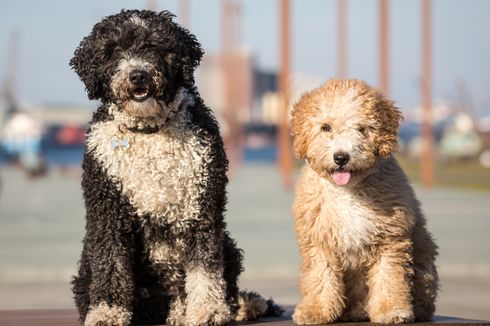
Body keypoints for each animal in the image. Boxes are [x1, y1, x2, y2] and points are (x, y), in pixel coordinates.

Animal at [70, 8, 282, 324]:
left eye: (156, 47)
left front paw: (208, 310)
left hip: (227, 244)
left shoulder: (201, 205)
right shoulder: (107, 209)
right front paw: (108, 312)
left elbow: (205, 265)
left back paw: (239, 306)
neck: (149, 131)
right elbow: (111, 263)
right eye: (114, 50)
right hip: (89, 261)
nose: (138, 75)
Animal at [290, 79, 440, 324]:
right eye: (326, 127)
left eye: (362, 129)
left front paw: (391, 311)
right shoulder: (318, 240)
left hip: (424, 254)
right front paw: (315, 311)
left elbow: (389, 277)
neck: (347, 191)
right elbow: (320, 277)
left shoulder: (390, 240)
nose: (341, 157)